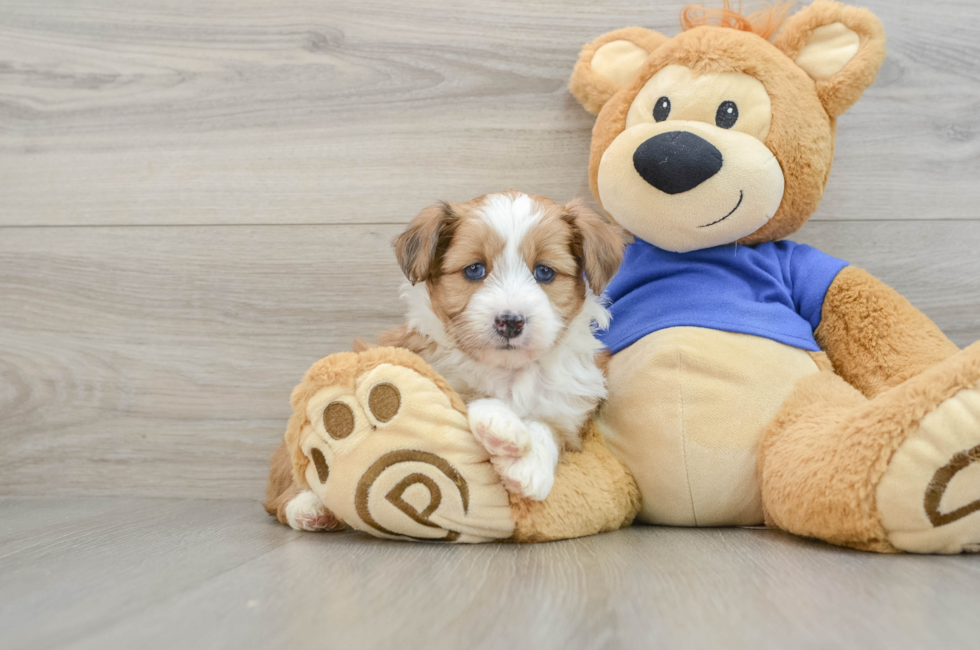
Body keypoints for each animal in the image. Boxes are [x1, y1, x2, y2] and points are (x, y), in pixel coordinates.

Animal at [382, 190, 628, 498]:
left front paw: (529, 465)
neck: (509, 371)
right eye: (475, 269)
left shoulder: (571, 421)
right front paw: (502, 425)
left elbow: (548, 426)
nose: (510, 321)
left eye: (544, 272)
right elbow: (462, 397)